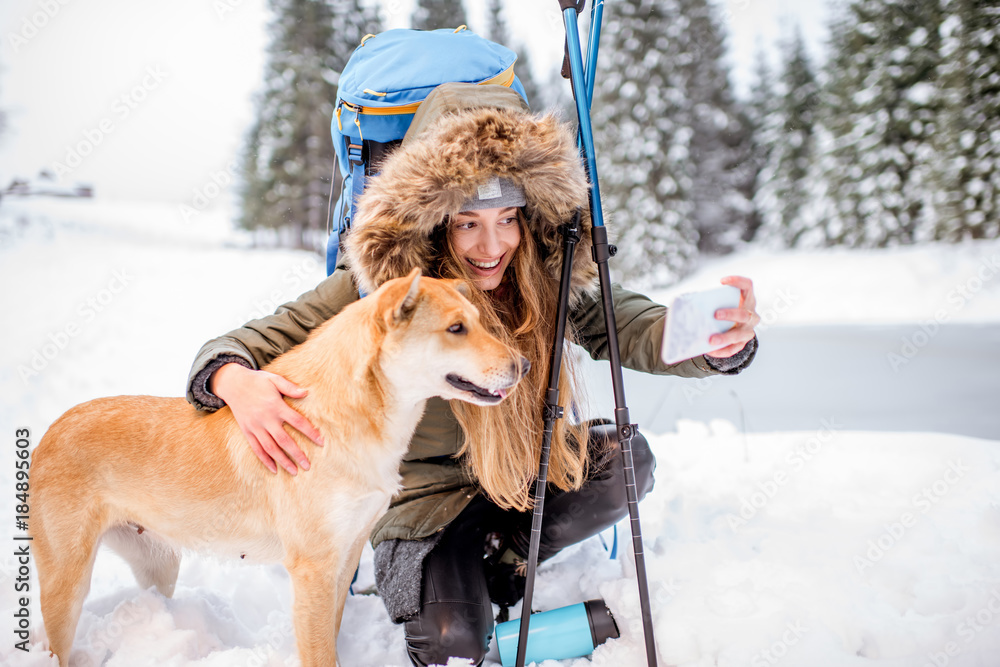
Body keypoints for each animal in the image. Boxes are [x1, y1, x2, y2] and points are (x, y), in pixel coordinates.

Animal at [29, 268, 532, 664]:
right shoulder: (312, 567)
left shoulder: (344, 556)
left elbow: (329, 635)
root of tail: (48, 432)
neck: (352, 415)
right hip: (66, 585)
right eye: (456, 328)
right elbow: (319, 652)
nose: (525, 365)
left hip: (159, 566)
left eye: (480, 323)